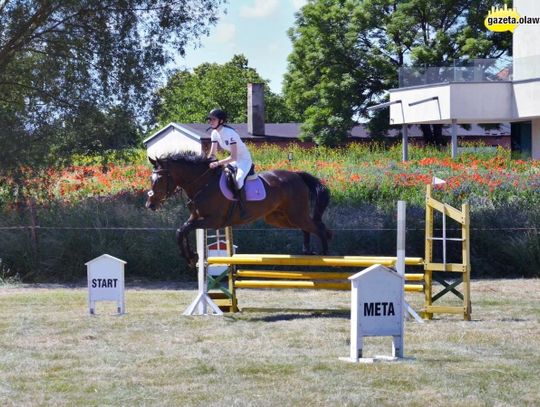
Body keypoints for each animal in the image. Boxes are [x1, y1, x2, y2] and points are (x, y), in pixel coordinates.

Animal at [144, 151, 330, 268]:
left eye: (160, 180)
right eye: (151, 179)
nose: (150, 204)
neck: (202, 183)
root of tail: (297, 175)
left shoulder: (213, 220)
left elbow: (184, 230)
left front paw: (190, 256)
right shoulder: (195, 218)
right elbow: (181, 231)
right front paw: (191, 257)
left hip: (295, 214)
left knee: (321, 229)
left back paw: (326, 255)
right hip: (280, 218)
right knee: (306, 228)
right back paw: (307, 251)